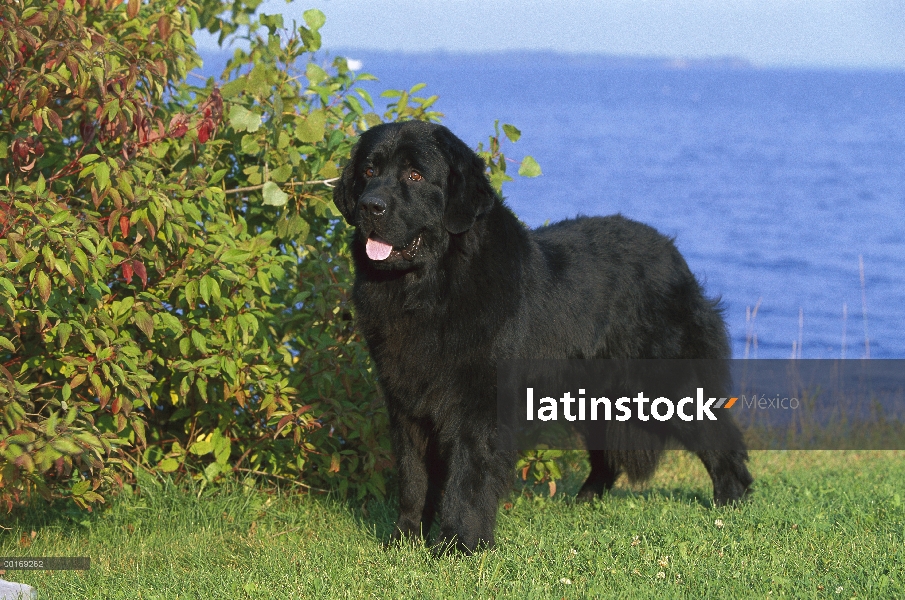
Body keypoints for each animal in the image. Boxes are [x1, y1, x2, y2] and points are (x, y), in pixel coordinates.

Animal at [332, 120, 748, 552]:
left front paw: (458, 545)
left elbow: (467, 477)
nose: (370, 206)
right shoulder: (407, 401)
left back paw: (730, 502)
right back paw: (584, 503)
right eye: (368, 171)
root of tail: (673, 254)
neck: (429, 291)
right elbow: (413, 477)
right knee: (606, 456)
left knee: (719, 437)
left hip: (667, 381)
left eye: (414, 176)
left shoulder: (479, 404)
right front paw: (404, 541)